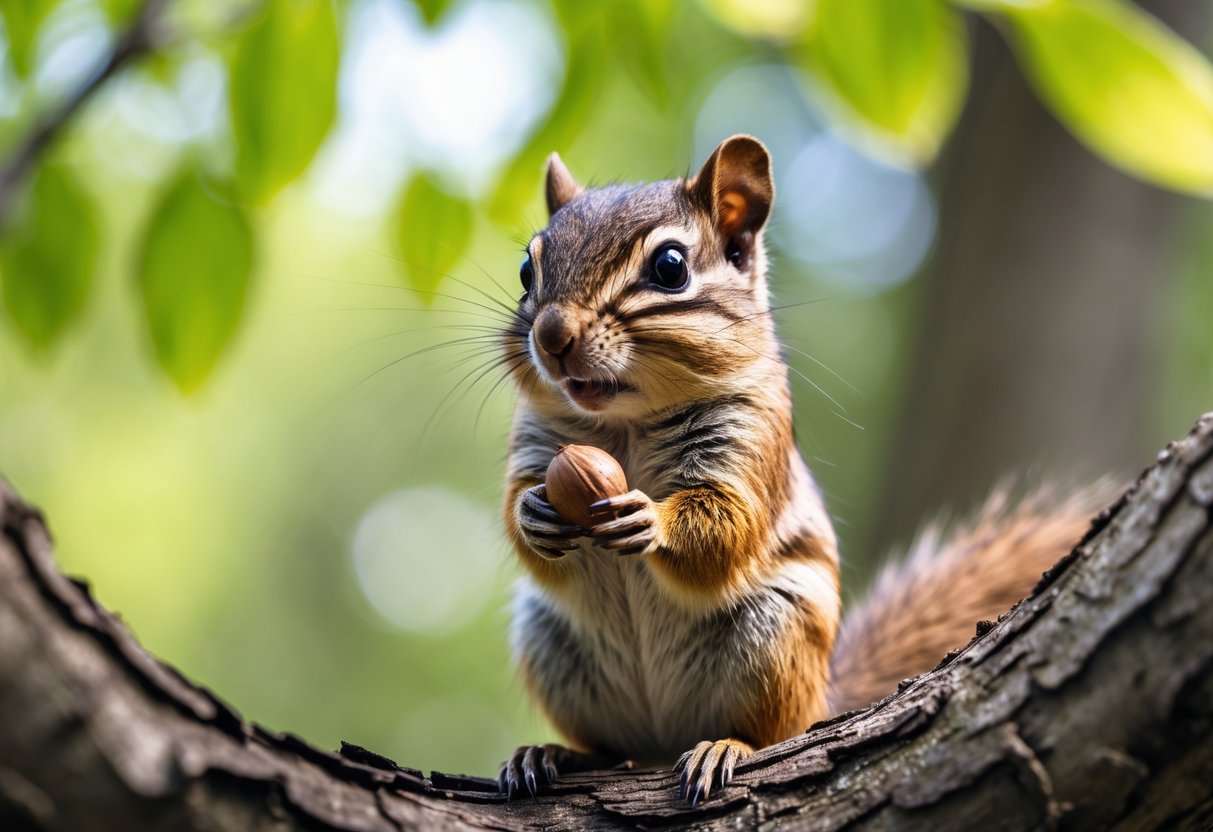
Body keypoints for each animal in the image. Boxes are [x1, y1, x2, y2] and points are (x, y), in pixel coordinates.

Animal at [496, 135, 1102, 805]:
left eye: (670, 268)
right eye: (526, 272)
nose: (551, 335)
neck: (623, 426)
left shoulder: (753, 440)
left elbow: (726, 527)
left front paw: (648, 518)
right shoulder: (536, 442)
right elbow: (517, 507)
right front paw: (533, 513)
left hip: (773, 638)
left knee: (770, 731)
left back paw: (723, 746)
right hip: (552, 644)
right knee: (610, 748)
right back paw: (553, 755)